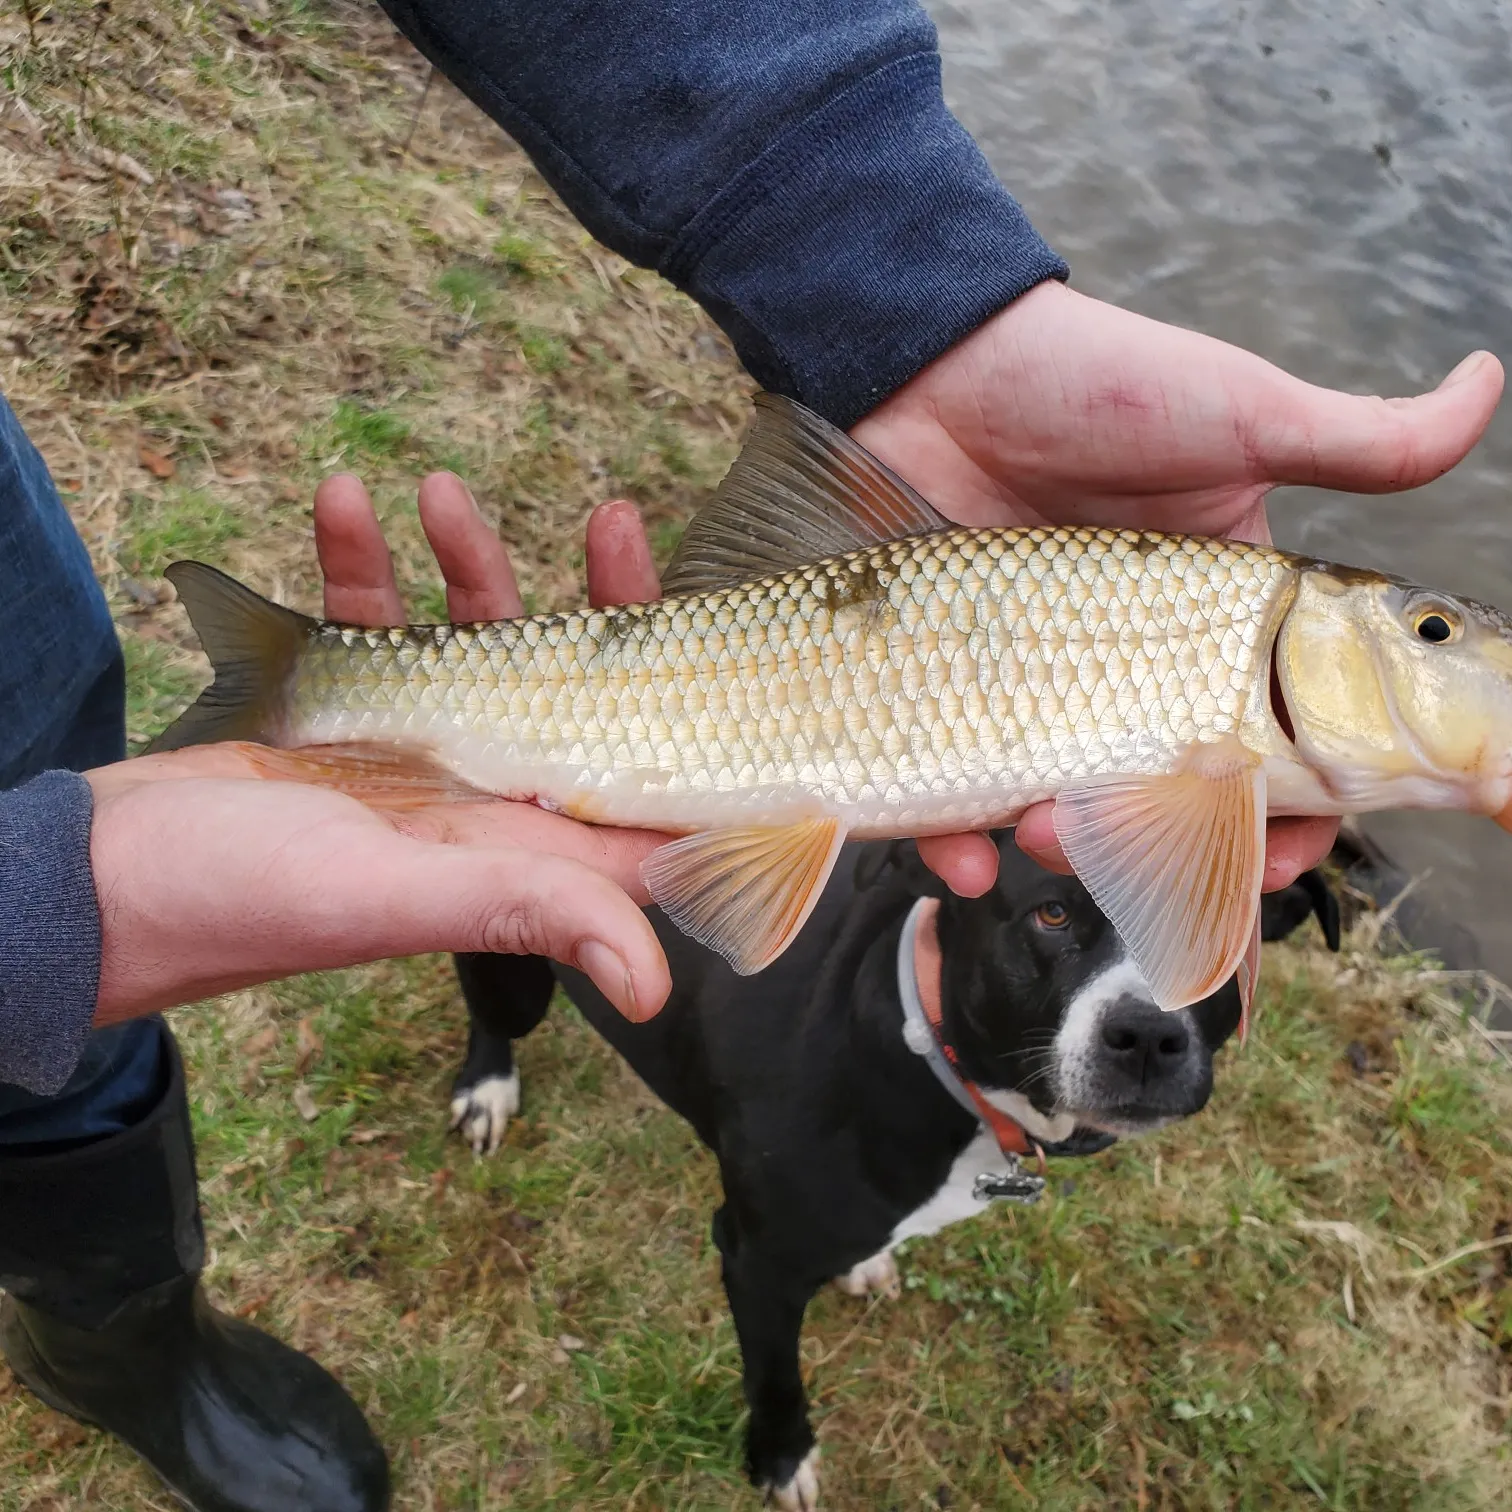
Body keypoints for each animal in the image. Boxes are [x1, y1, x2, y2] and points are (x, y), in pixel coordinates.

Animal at [447, 846, 1336, 1505]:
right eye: (1052, 914)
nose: (1149, 1035)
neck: (931, 1043)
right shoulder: (757, 1262)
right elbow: (775, 1378)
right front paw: (782, 1463)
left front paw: (869, 1264)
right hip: (513, 961)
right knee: (491, 1014)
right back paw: (486, 1087)